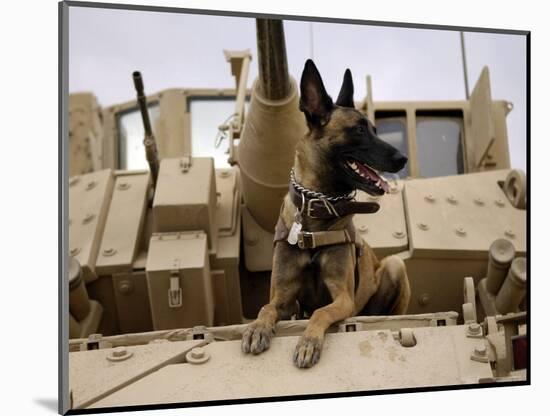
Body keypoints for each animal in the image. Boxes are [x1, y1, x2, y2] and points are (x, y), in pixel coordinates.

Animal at [244, 59, 412, 368]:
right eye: (359, 130)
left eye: (374, 128)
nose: (402, 158)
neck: (316, 210)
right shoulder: (283, 299)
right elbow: (265, 308)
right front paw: (257, 329)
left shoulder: (343, 298)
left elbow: (321, 312)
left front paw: (308, 342)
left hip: (394, 266)